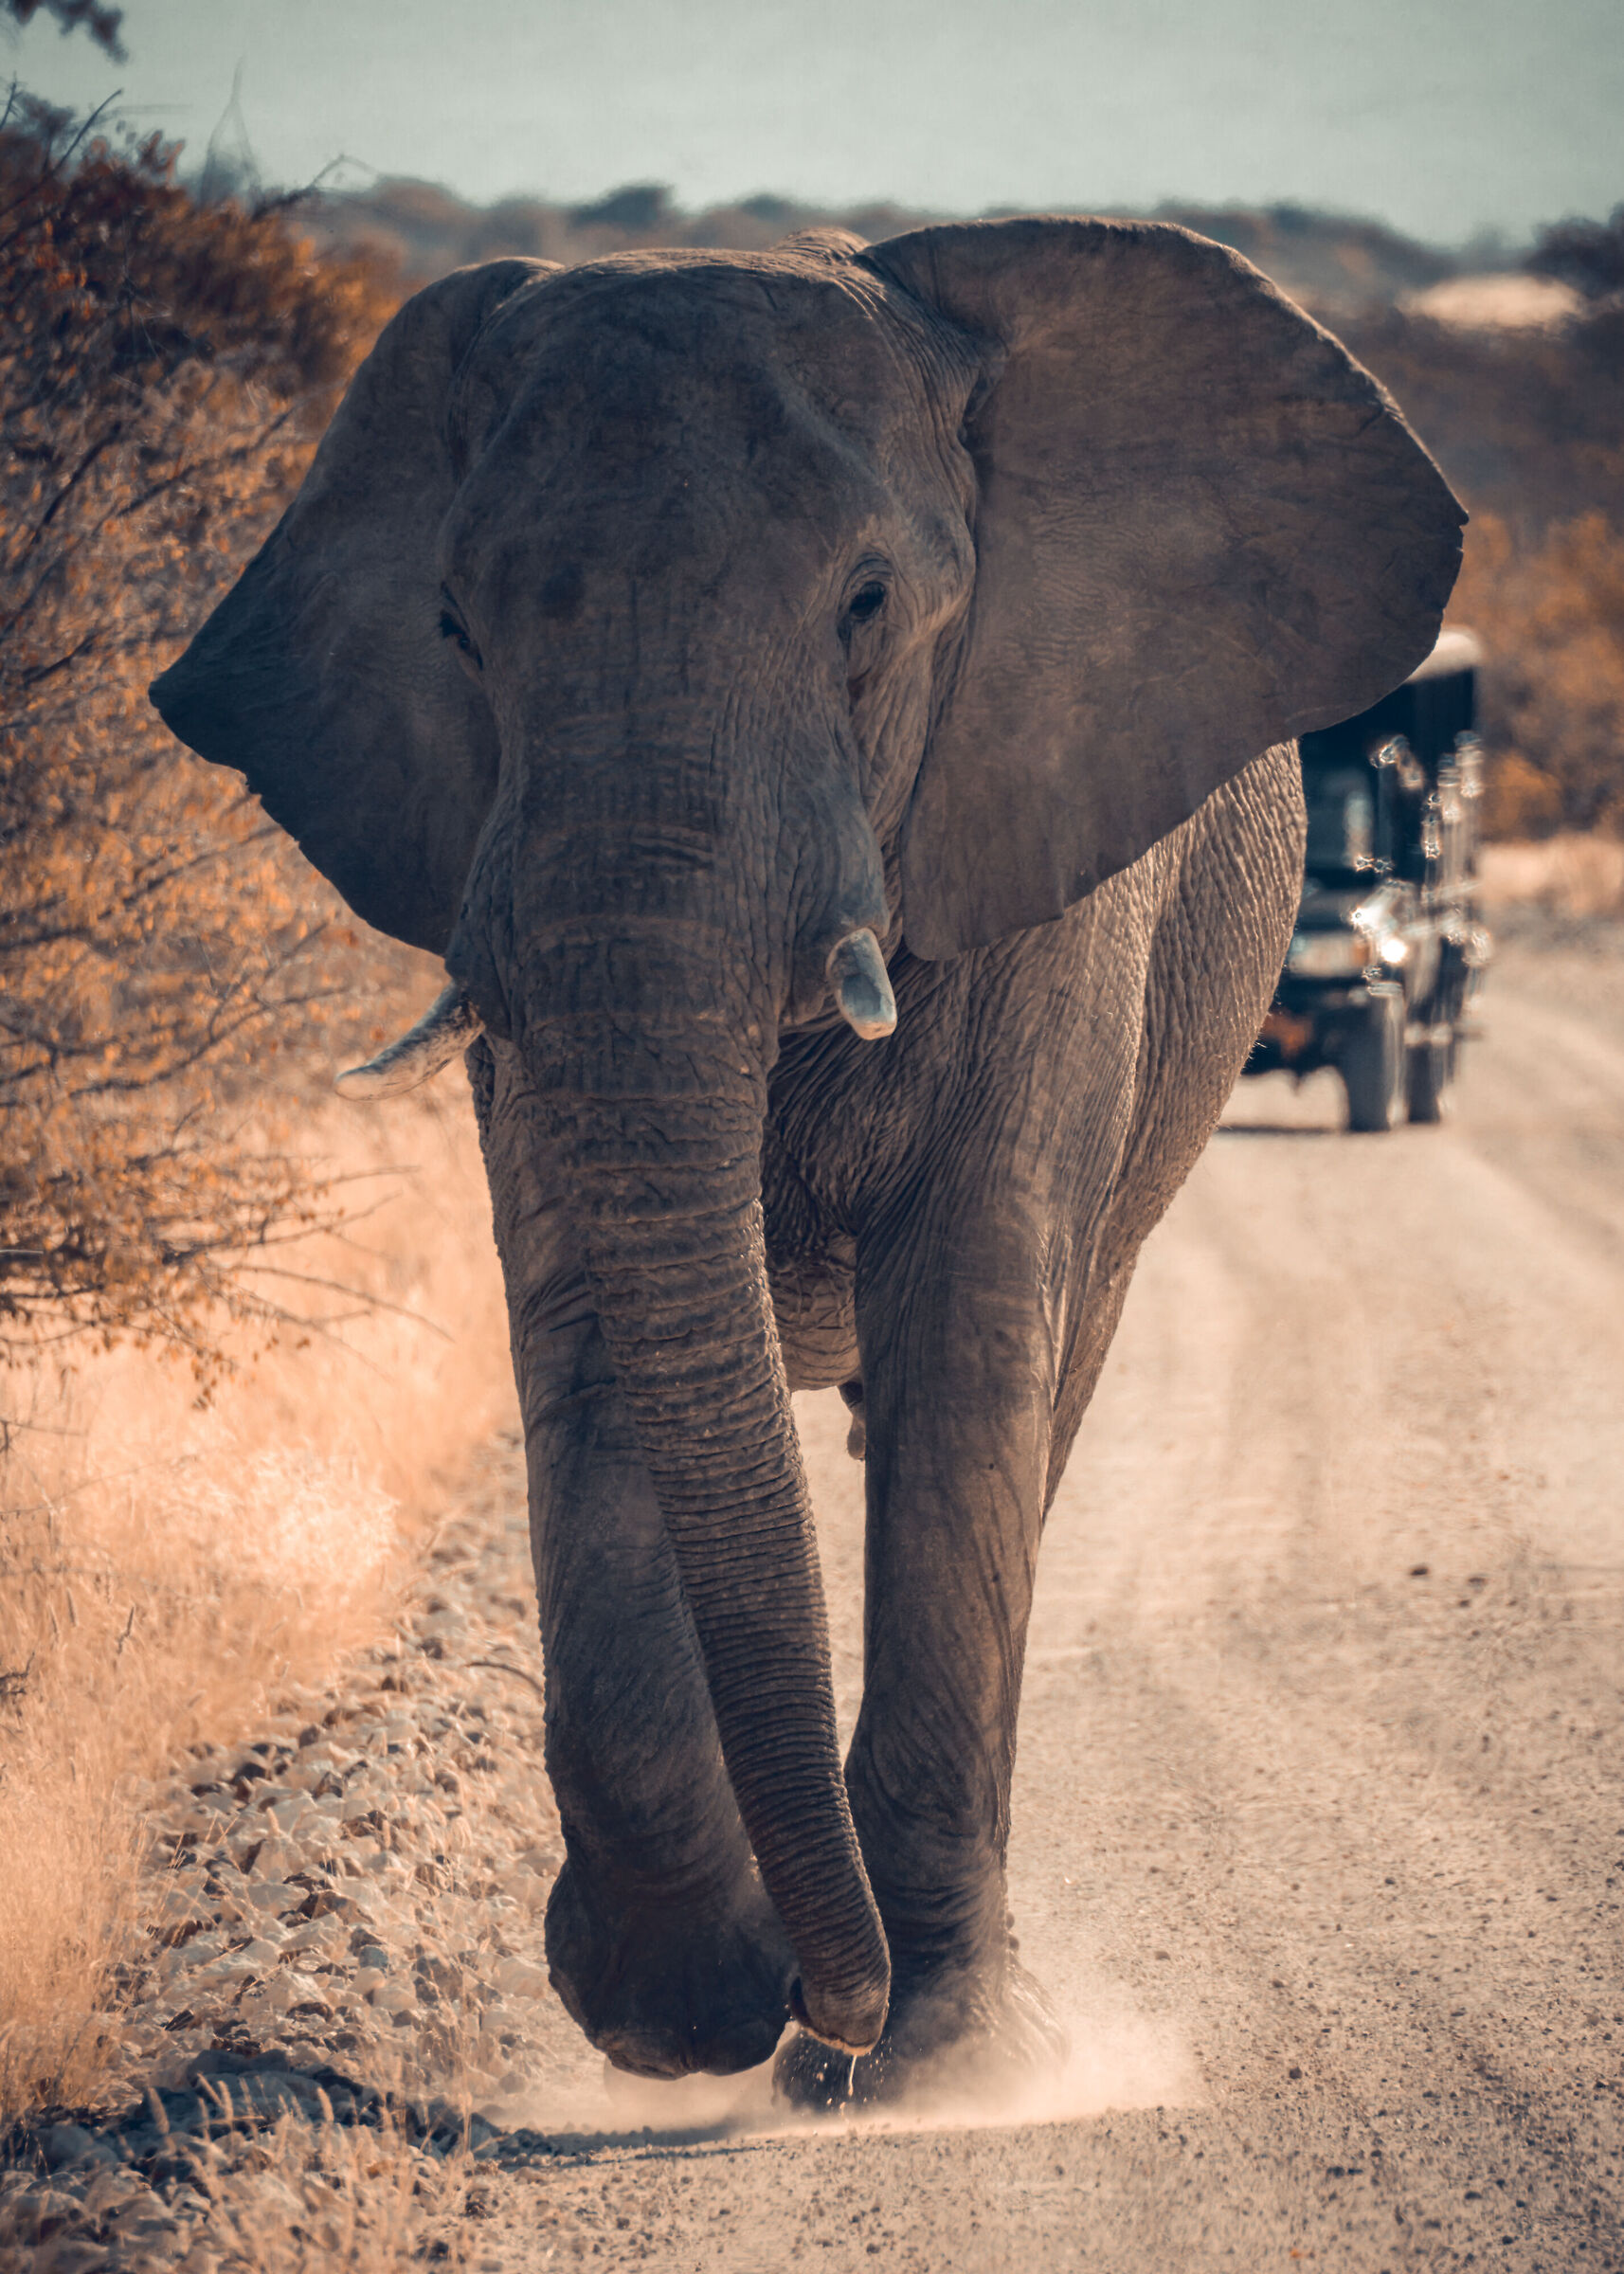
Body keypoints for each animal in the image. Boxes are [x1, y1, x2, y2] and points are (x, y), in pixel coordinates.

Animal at [150, 215, 1461, 2105]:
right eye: (455, 629)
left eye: (866, 608)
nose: (816, 2008)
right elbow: (587, 1327)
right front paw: (681, 2007)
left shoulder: (1054, 875)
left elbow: (967, 1348)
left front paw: (929, 2061)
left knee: (1033, 1404)